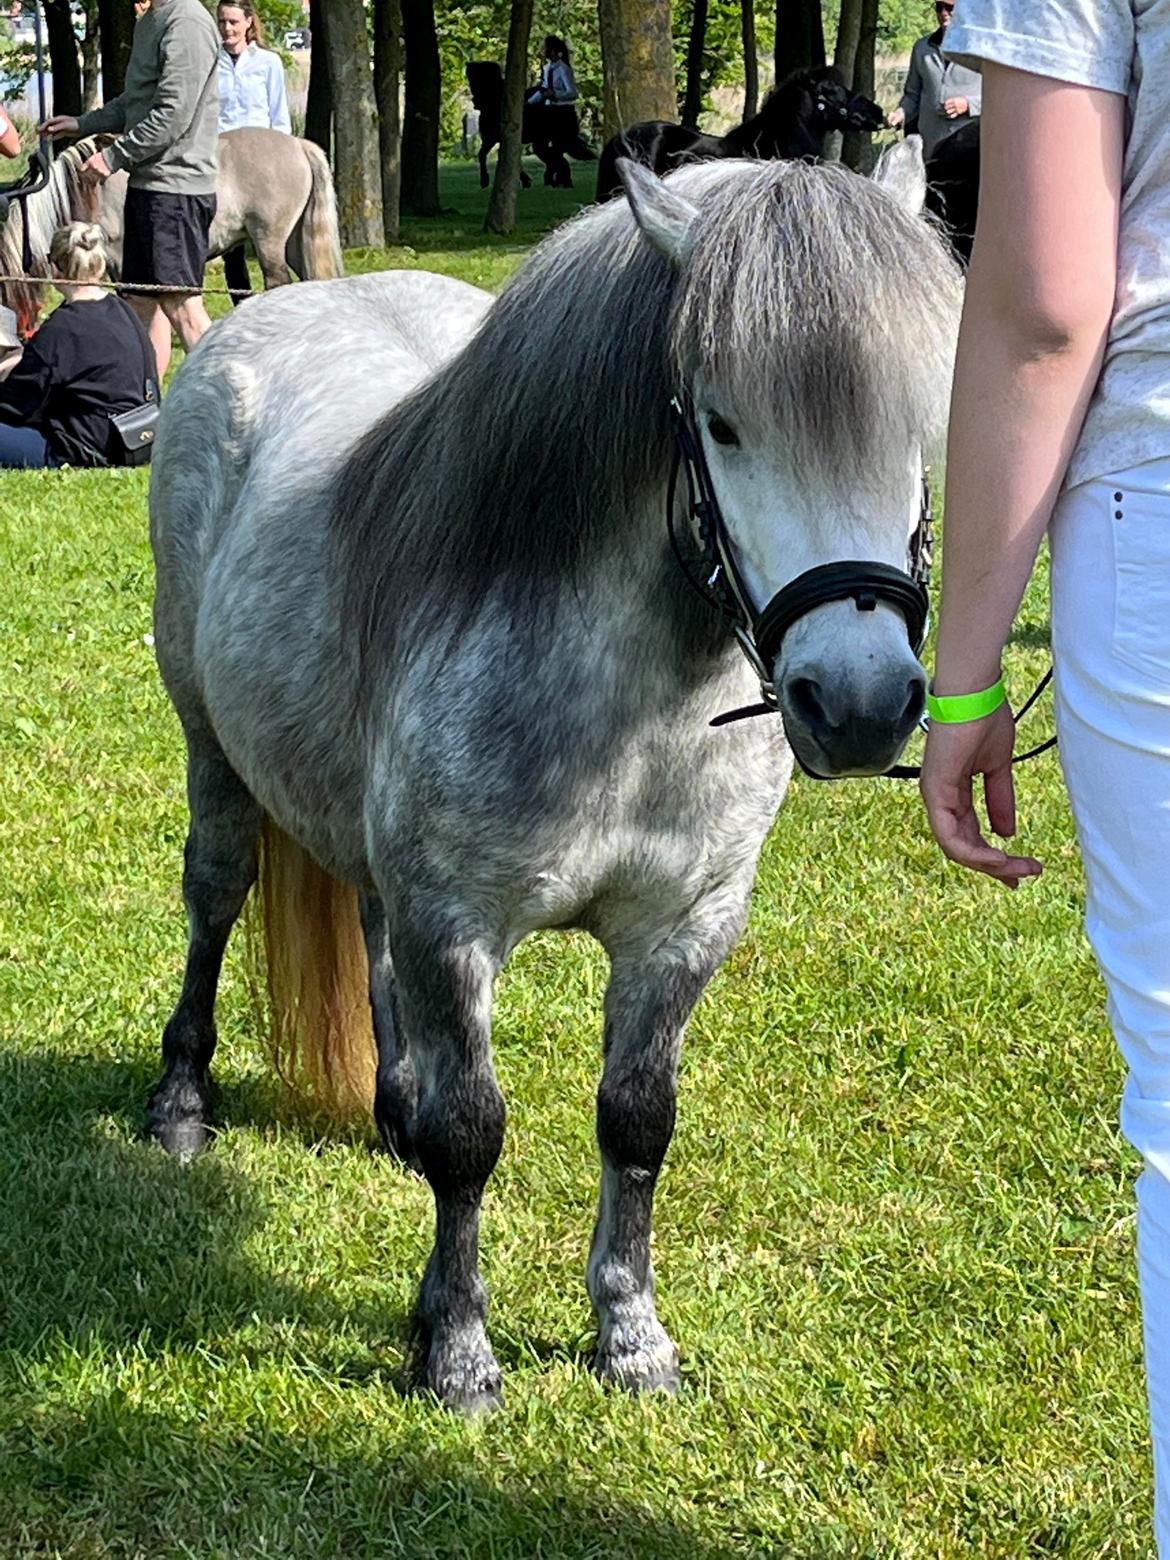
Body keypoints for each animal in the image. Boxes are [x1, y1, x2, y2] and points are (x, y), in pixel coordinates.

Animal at [148, 146, 960, 1416]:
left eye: (916, 428)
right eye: (722, 423)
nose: (863, 701)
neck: (632, 715)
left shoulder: (682, 932)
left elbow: (637, 1123)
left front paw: (630, 1335)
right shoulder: (457, 927)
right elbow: (473, 1135)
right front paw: (458, 1352)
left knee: (368, 927)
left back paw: (391, 1106)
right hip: (213, 754)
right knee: (216, 895)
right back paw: (183, 1103)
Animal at [467, 62, 595, 191]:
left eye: (478, 79)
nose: (474, 101)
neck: (495, 103)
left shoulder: (497, 138)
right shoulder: (491, 139)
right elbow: (485, 156)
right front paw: (486, 181)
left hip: (554, 141)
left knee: (556, 158)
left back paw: (559, 181)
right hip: (546, 142)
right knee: (555, 158)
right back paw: (557, 182)